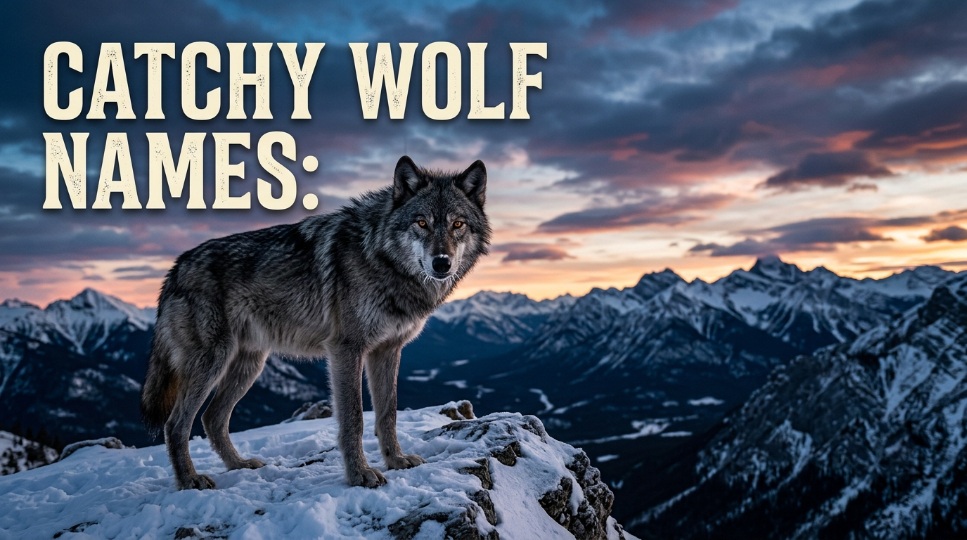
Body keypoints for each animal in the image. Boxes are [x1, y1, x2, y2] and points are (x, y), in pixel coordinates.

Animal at [140, 156, 490, 489]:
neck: (381, 258)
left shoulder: (387, 350)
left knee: (212, 418)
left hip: (249, 365)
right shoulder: (346, 349)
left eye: (458, 224)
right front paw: (360, 475)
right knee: (176, 424)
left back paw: (239, 465)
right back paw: (190, 480)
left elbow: (387, 413)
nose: (442, 263)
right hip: (213, 362)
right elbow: (354, 418)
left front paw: (396, 461)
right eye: (421, 223)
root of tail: (175, 269)